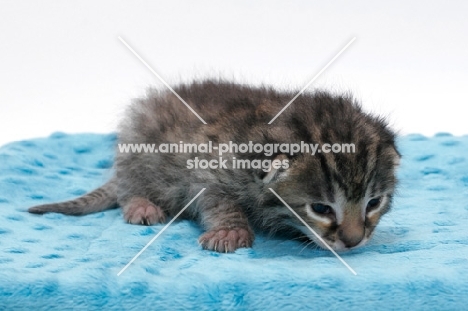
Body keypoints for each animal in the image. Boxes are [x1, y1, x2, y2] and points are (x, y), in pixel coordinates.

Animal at [28, 80, 398, 254]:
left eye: (373, 203)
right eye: (321, 208)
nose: (353, 242)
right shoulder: (205, 172)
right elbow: (219, 202)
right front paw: (230, 230)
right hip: (137, 143)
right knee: (127, 185)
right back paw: (141, 204)